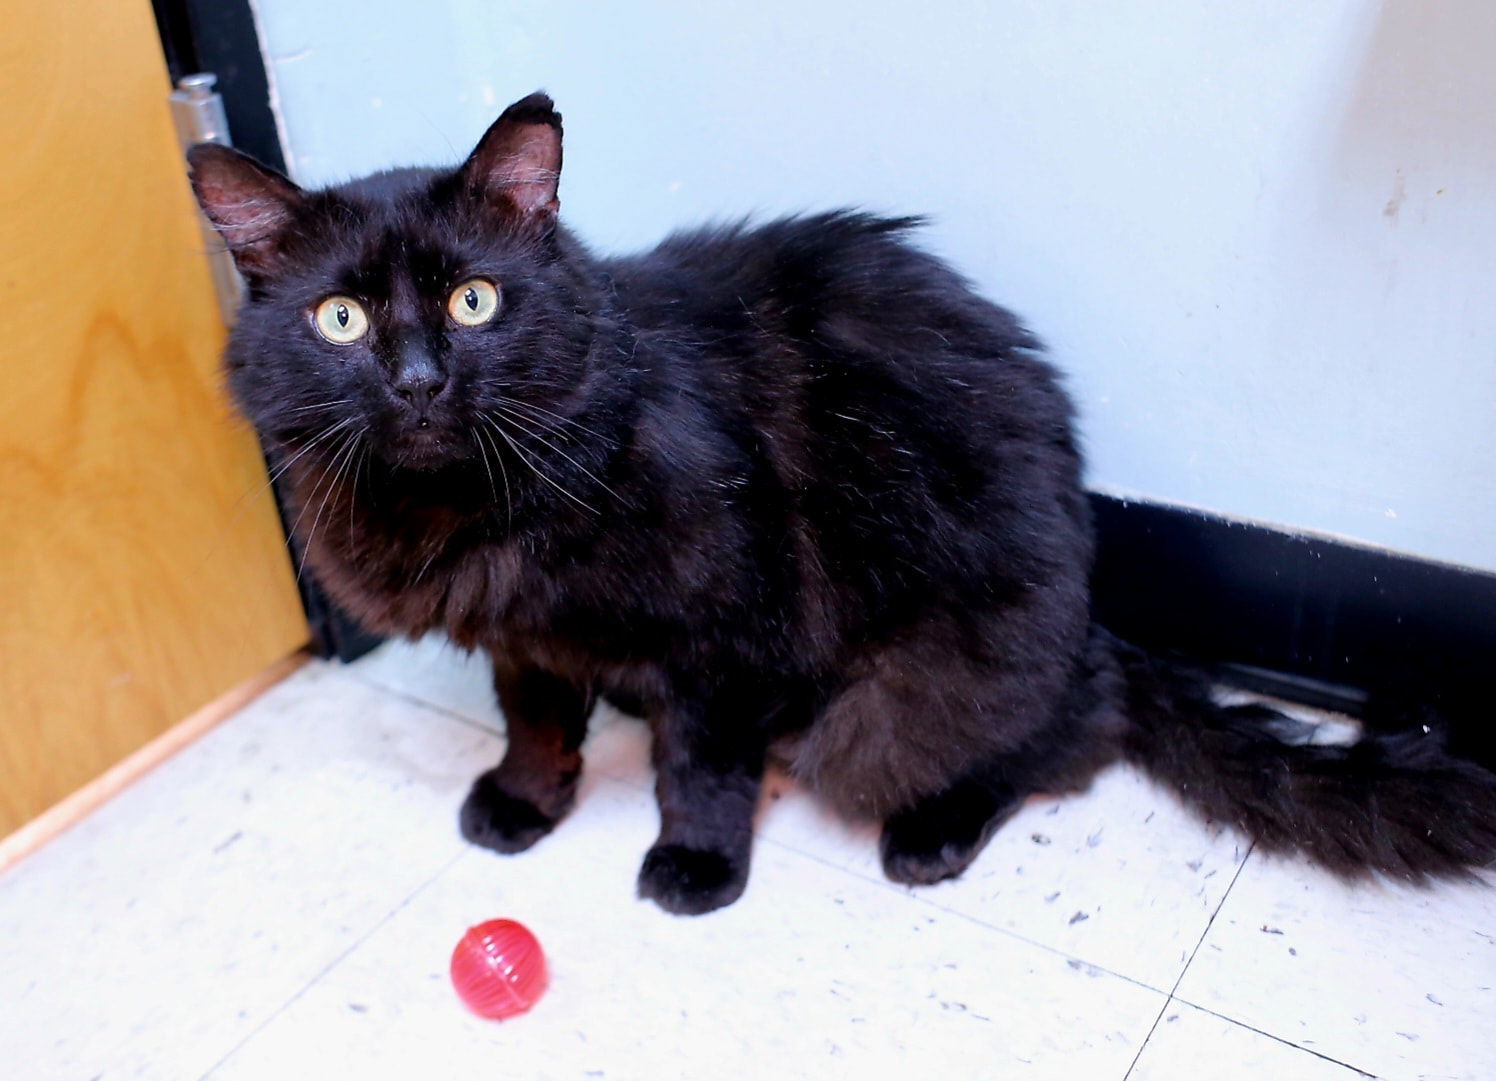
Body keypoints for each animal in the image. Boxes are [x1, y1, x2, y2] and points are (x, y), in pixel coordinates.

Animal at [189, 90, 1496, 915]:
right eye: (339, 320)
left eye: (474, 301)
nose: (417, 381)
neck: (465, 504)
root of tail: (1094, 616)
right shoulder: (521, 634)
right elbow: (537, 718)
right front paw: (523, 802)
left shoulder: (721, 627)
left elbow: (699, 764)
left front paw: (694, 868)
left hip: (901, 695)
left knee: (1061, 735)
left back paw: (929, 833)